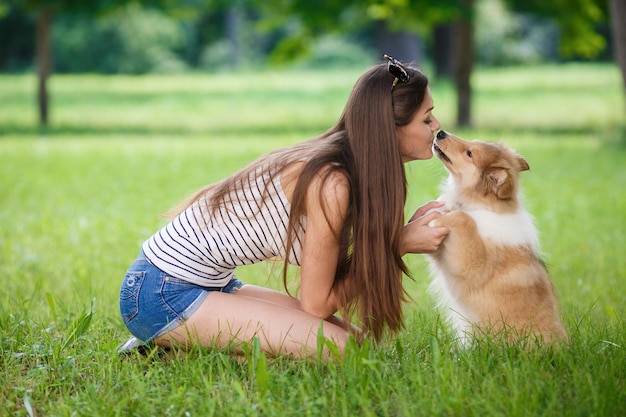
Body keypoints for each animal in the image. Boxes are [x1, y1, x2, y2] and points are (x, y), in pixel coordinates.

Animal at [424, 130, 564, 348]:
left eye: (470, 153)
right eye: (472, 142)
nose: (440, 132)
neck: (479, 206)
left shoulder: (473, 265)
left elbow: (463, 218)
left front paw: (437, 218)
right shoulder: (442, 253)